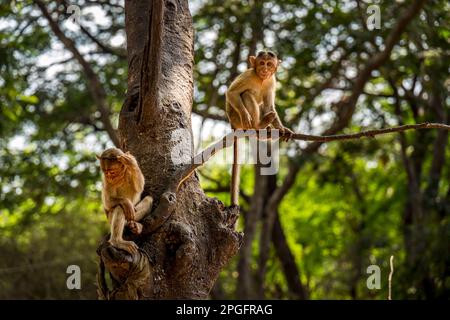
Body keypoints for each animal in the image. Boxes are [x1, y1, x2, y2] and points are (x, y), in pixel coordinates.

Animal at [225, 50, 296, 205]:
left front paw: (282, 128)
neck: (261, 79)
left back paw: (266, 129)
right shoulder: (248, 75)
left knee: (264, 105)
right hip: (236, 118)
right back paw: (258, 125)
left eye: (269, 64)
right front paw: (246, 115)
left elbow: (269, 106)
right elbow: (232, 93)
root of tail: (232, 124)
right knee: (246, 94)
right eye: (262, 63)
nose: (265, 70)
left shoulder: (272, 81)